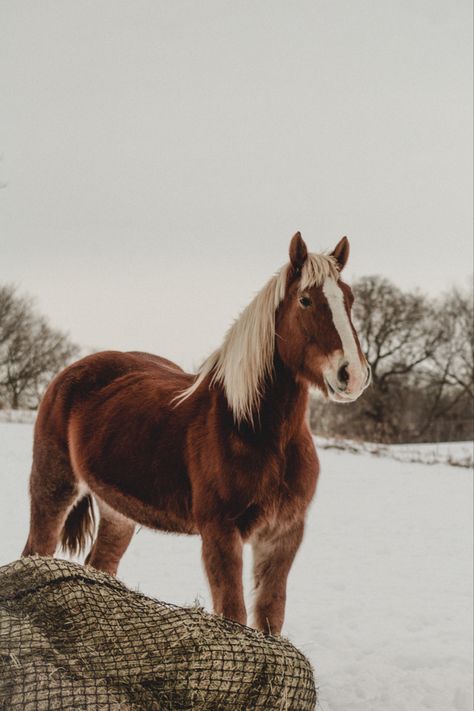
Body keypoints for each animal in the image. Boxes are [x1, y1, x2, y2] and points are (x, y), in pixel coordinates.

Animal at [22, 234, 370, 636]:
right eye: (306, 300)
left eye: (349, 299)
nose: (352, 374)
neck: (257, 431)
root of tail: (69, 372)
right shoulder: (220, 532)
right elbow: (233, 612)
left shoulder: (283, 535)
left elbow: (271, 616)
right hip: (54, 486)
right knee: (35, 550)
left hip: (117, 511)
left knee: (101, 565)